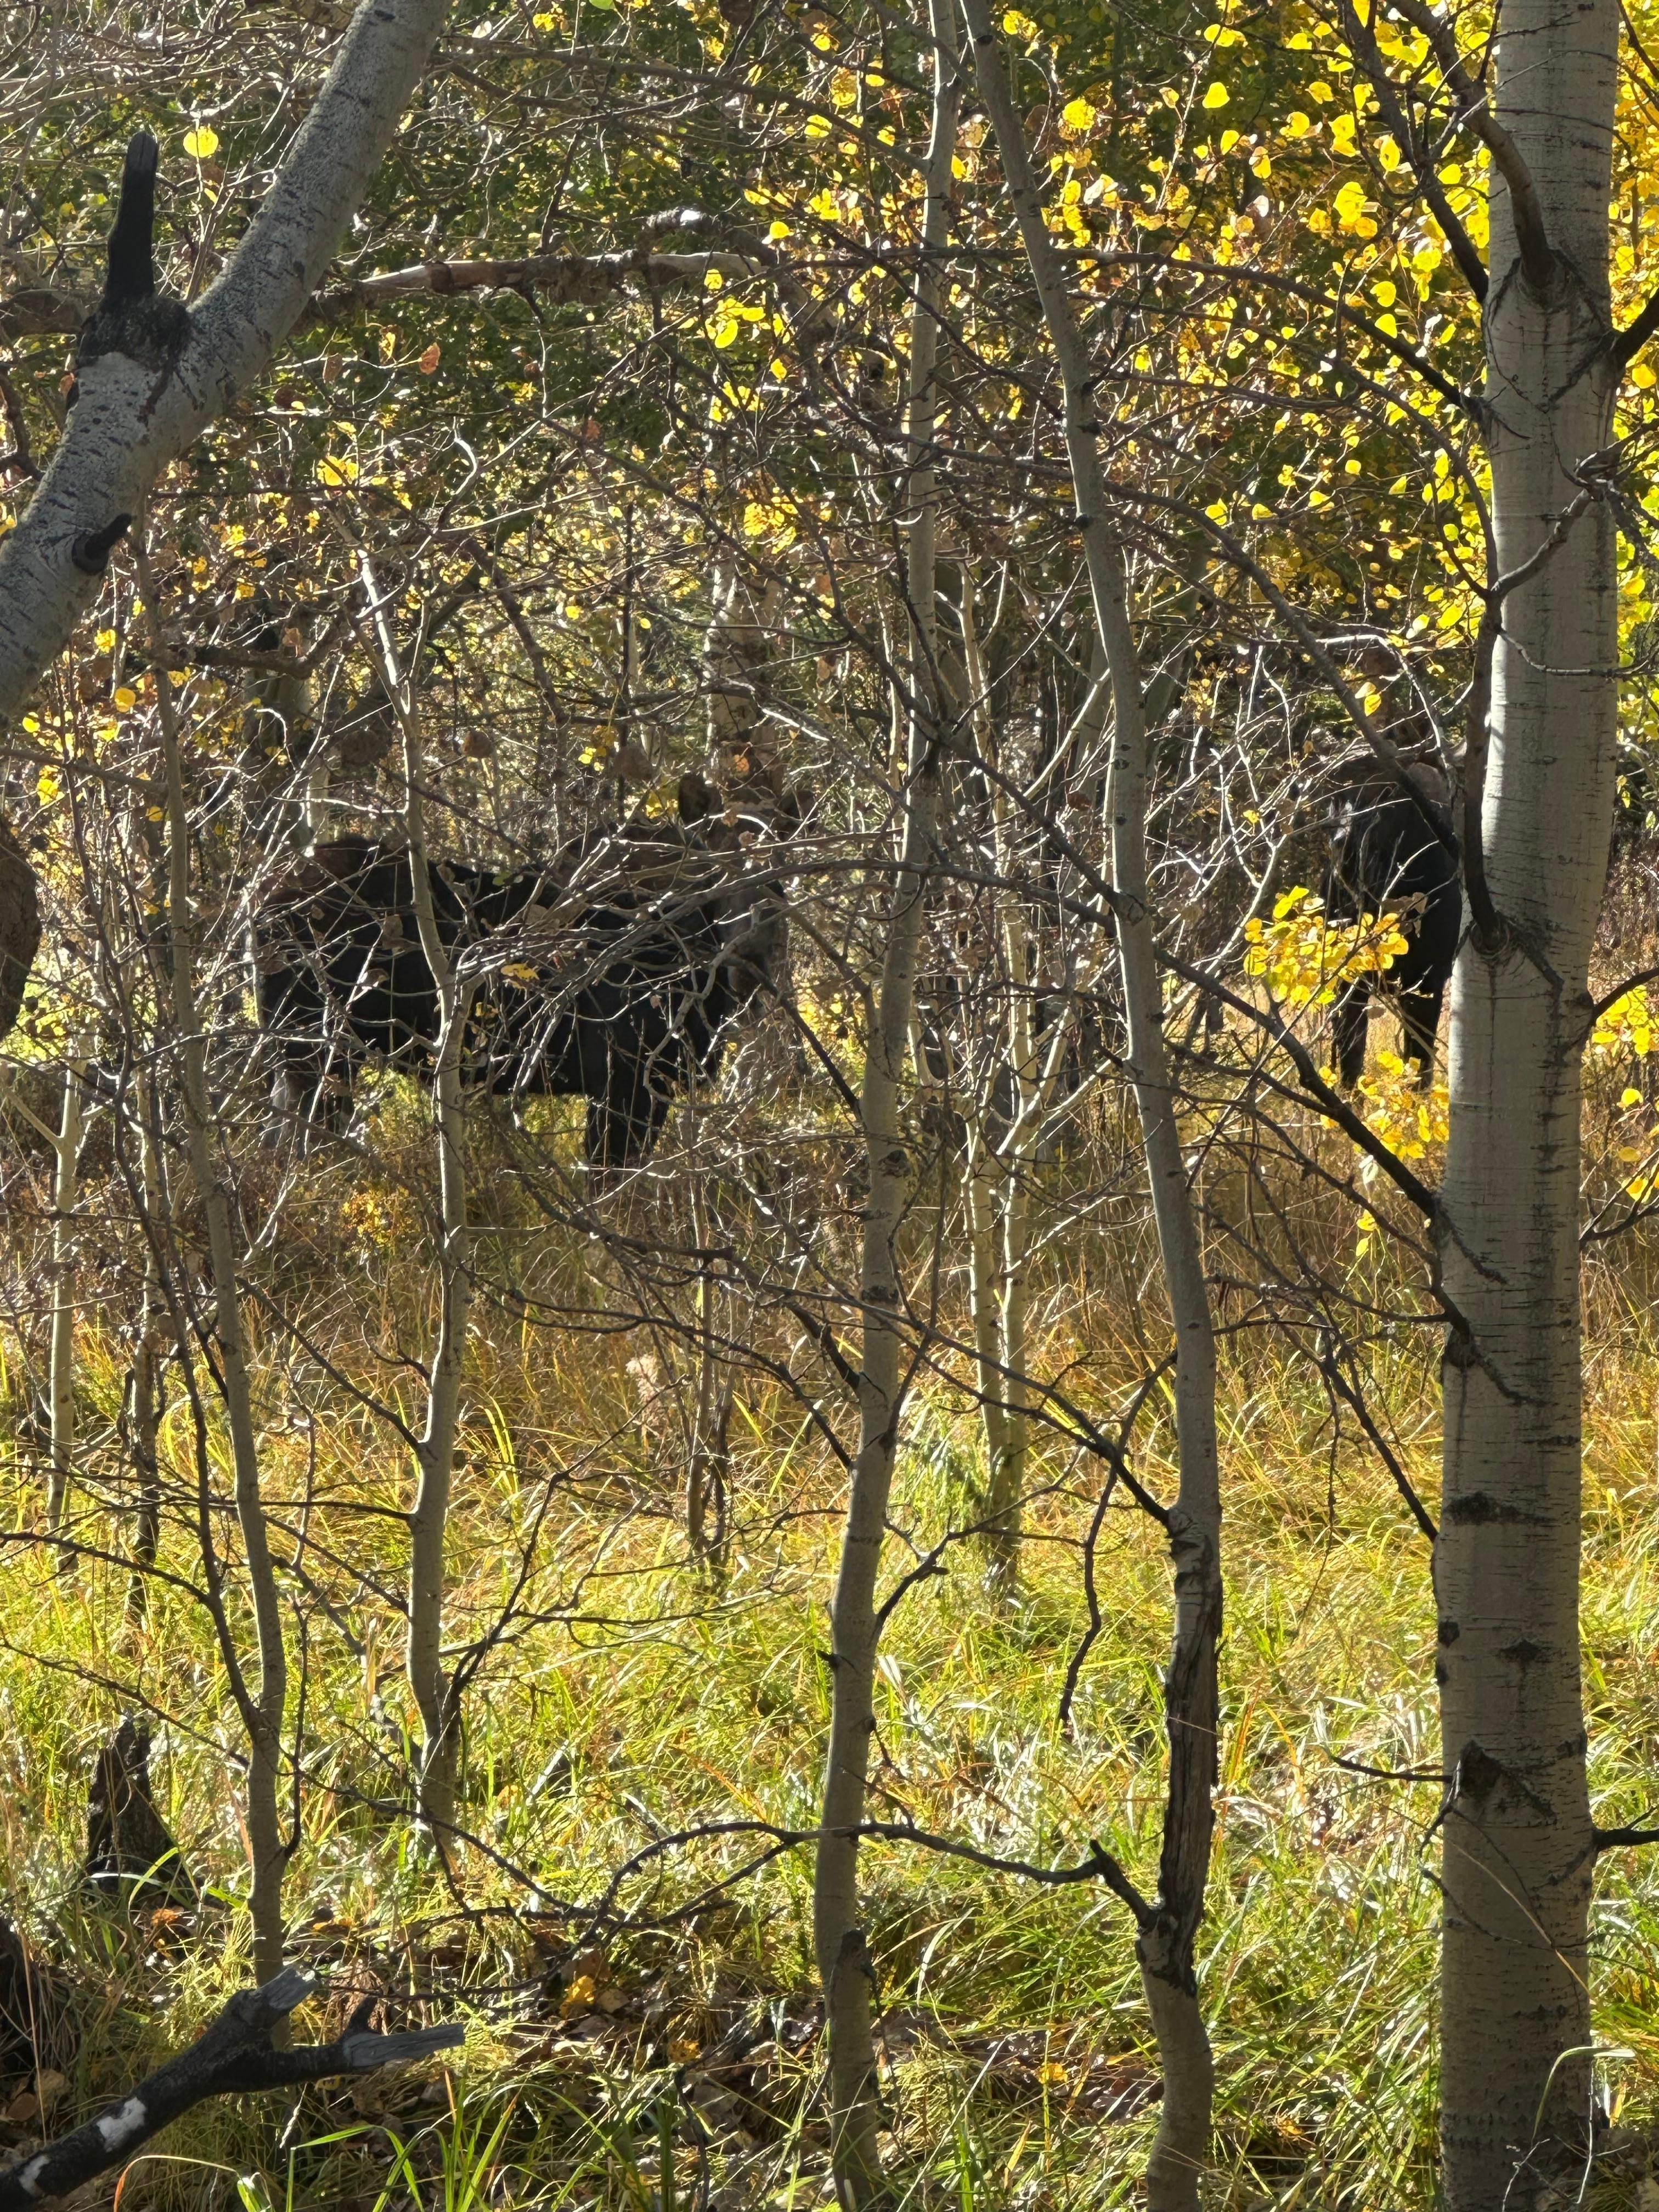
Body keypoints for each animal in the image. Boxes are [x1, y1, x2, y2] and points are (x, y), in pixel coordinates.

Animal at [251, 773, 796, 1170]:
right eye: (719, 867)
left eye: (782, 874)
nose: (755, 954)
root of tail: (258, 898)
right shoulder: (626, 1080)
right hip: (317, 1045)